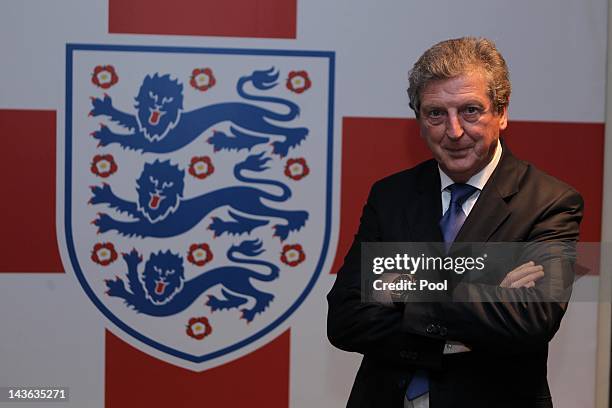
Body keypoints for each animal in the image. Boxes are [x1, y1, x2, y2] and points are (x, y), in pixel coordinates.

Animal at [88, 67, 308, 157]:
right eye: (152, 94)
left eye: (168, 99)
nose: (158, 106)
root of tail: (257, 108)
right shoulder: (144, 127)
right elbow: (127, 119)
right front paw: (105, 107)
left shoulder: (155, 142)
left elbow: (127, 138)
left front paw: (106, 135)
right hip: (243, 125)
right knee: (261, 138)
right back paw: (225, 140)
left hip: (250, 122)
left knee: (296, 131)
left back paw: (284, 145)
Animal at [91, 151, 308, 241]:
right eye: (153, 179)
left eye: (168, 183)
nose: (159, 189)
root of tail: (254, 190)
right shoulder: (146, 214)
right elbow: (127, 206)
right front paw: (106, 195)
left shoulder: (152, 227)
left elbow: (127, 225)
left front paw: (107, 222)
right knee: (256, 222)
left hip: (247, 206)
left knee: (290, 214)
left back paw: (290, 225)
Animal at [107, 239, 280, 322]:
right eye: (156, 268)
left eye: (171, 271)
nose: (162, 276)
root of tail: (245, 270)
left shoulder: (154, 306)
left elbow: (134, 289)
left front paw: (119, 286)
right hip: (229, 285)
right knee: (244, 298)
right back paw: (219, 302)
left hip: (236, 284)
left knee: (264, 295)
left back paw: (250, 312)